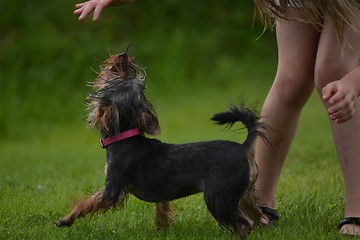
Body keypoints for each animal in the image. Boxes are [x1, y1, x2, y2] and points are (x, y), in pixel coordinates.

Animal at [56, 47, 268, 238]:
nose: (124, 56)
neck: (125, 136)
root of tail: (244, 148)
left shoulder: (112, 189)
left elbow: (87, 203)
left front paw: (66, 219)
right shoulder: (163, 194)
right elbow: (162, 211)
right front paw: (162, 230)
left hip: (218, 196)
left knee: (244, 223)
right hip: (244, 195)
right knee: (259, 216)